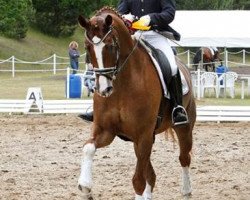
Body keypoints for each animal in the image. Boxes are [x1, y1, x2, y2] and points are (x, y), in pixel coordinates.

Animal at [77, 7, 196, 199]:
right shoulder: (106, 130)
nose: (104, 89)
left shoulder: (143, 135)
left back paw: (186, 190)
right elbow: (88, 147)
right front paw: (85, 187)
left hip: (183, 127)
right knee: (151, 174)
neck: (122, 84)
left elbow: (138, 180)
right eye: (88, 48)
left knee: (184, 158)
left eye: (110, 46)